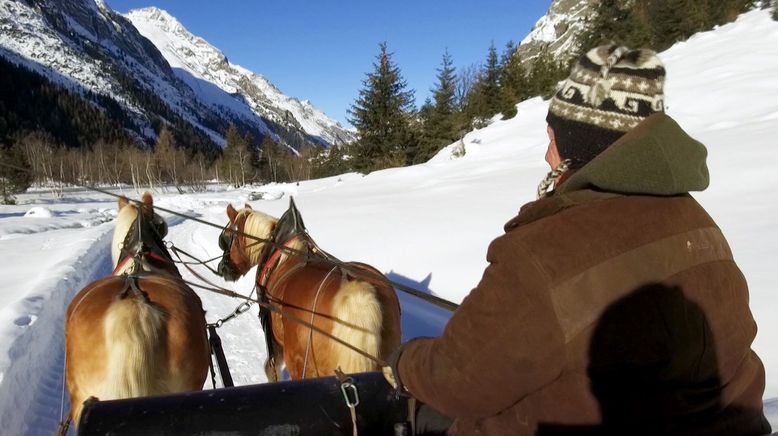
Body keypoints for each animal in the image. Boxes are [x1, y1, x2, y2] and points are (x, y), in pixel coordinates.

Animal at [217, 199, 400, 380]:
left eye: (226, 236)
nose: (221, 268)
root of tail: (356, 290)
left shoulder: (273, 340)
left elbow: (271, 368)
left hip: (298, 363)